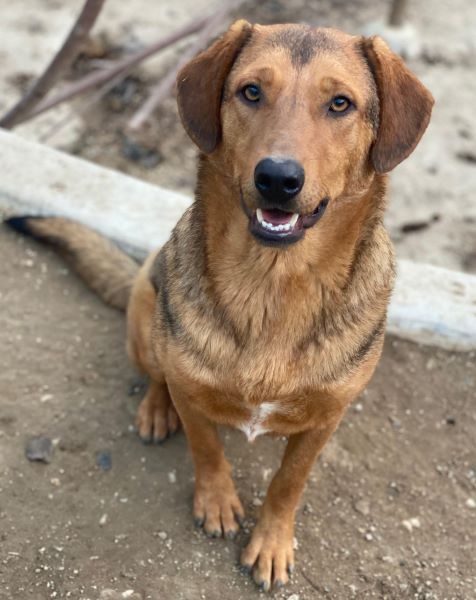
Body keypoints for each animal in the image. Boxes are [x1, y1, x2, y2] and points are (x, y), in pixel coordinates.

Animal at [6, 21, 433, 592]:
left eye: (341, 103)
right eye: (251, 91)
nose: (277, 178)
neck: (272, 285)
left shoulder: (326, 420)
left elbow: (288, 482)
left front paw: (271, 541)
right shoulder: (193, 394)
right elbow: (206, 449)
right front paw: (217, 502)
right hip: (146, 321)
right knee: (157, 373)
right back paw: (154, 409)